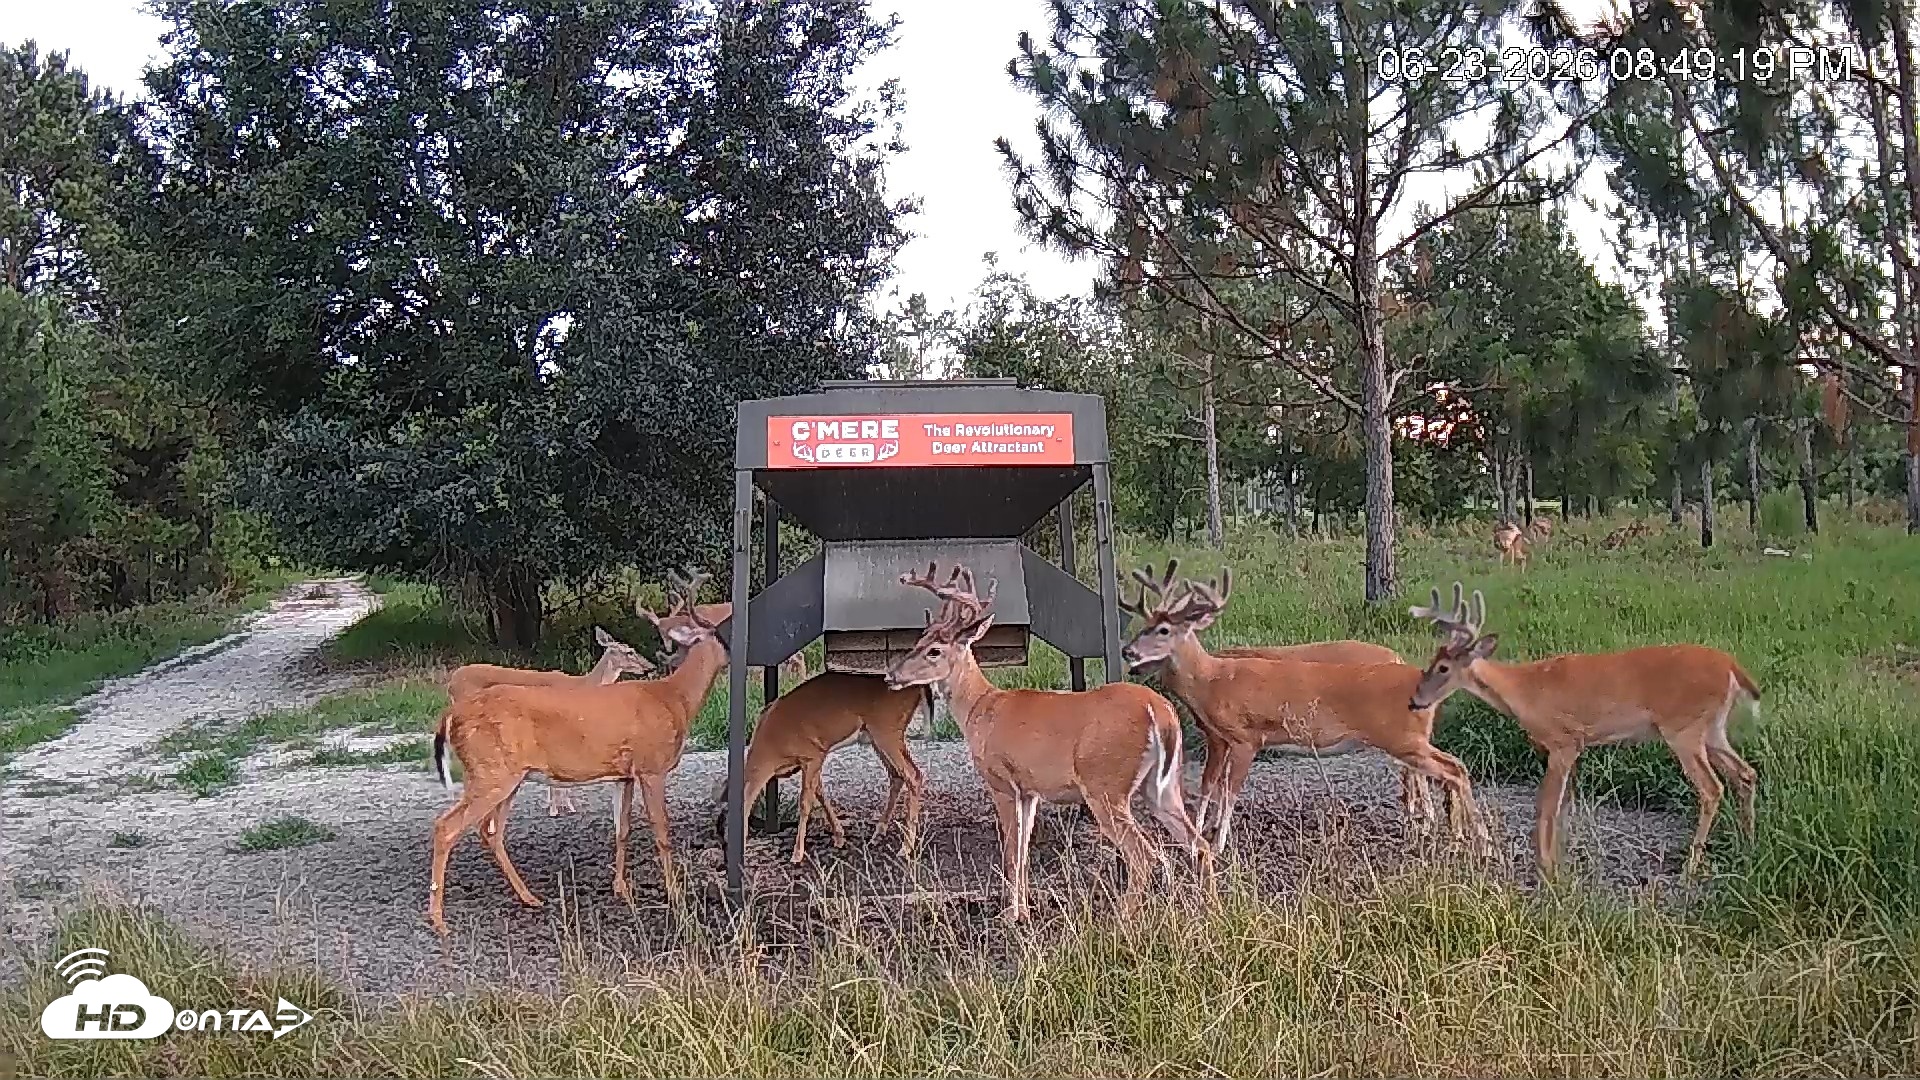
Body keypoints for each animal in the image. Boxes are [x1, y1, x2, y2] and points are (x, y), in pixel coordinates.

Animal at [443, 628, 657, 817]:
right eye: (629, 651)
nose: (650, 667)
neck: (584, 684)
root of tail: (451, 682)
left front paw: (565, 806)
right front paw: (556, 809)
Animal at [712, 670, 928, 865]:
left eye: (728, 832)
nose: (724, 863)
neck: (771, 748)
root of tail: (916, 690)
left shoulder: (813, 755)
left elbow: (805, 802)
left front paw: (797, 854)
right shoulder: (810, 761)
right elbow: (820, 792)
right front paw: (839, 837)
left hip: (887, 732)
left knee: (913, 775)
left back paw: (906, 848)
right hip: (876, 737)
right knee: (897, 775)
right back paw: (878, 834)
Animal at [884, 562, 1211, 923]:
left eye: (934, 650)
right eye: (919, 639)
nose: (891, 675)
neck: (980, 708)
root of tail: (1160, 712)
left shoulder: (1002, 781)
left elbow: (1011, 853)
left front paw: (1009, 917)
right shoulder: (1030, 791)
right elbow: (1024, 852)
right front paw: (1023, 911)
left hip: (1105, 784)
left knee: (1144, 855)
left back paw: (1123, 919)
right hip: (1161, 786)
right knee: (1199, 845)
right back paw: (1209, 910)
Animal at [1118, 565, 1494, 859]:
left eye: (1163, 629)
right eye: (1143, 623)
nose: (1128, 652)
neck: (1212, 681)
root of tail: (1412, 670)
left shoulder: (1246, 737)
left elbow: (1228, 793)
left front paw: (1220, 843)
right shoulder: (1218, 738)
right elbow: (1208, 786)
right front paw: (1198, 834)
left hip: (1402, 738)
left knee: (1451, 769)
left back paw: (1468, 839)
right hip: (1409, 739)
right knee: (1451, 768)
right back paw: (1457, 836)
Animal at [1407, 582, 1761, 878]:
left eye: (1443, 667)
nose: (1414, 700)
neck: (1524, 691)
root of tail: (1732, 668)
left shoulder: (1563, 741)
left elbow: (1546, 806)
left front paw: (1546, 868)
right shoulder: (1573, 746)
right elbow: (1562, 806)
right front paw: (1558, 861)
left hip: (1683, 729)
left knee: (1712, 788)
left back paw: (1691, 865)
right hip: (1712, 729)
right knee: (1746, 773)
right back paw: (1747, 843)